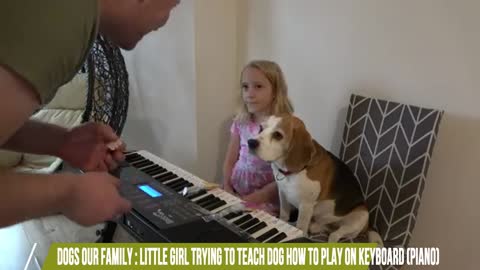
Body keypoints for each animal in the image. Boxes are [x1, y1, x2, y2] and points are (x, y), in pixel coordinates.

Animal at [249, 114, 384, 245]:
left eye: (278, 135)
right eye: (261, 128)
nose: (250, 142)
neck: (294, 172)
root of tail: (368, 227)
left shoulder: (306, 206)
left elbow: (301, 226)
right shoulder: (282, 194)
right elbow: (283, 217)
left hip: (361, 215)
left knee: (335, 235)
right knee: (319, 228)